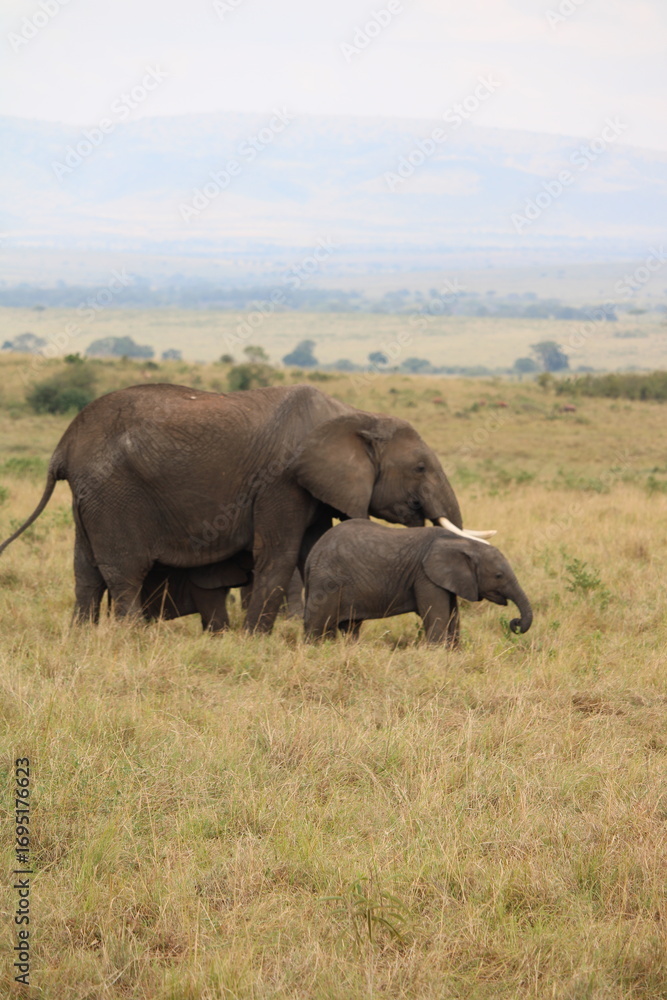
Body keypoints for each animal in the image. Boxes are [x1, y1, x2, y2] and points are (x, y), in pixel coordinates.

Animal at [0, 383, 493, 634]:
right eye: (420, 467)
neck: (357, 414)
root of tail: (63, 445)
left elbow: (312, 550)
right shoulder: (281, 478)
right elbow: (280, 553)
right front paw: (256, 638)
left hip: (90, 497)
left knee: (85, 570)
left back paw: (83, 638)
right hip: (115, 493)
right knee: (124, 571)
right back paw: (130, 638)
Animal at [303, 520, 532, 645]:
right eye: (498, 576)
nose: (515, 623)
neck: (464, 543)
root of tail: (311, 556)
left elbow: (453, 617)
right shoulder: (425, 577)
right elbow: (437, 617)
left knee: (350, 626)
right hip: (327, 582)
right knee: (319, 625)